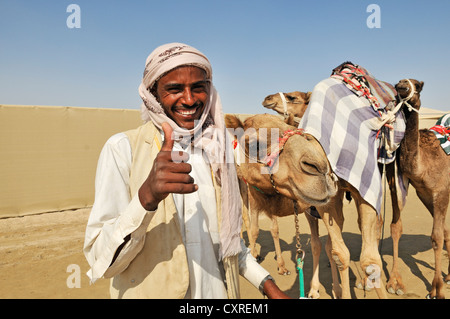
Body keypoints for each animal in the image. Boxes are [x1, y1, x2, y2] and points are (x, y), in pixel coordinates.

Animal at [384, 79, 450, 298]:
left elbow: (436, 237)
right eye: (398, 84)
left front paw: (436, 289)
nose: (403, 85)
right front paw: (393, 283)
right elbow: (442, 232)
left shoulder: (442, 191)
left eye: (419, 86)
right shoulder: (423, 192)